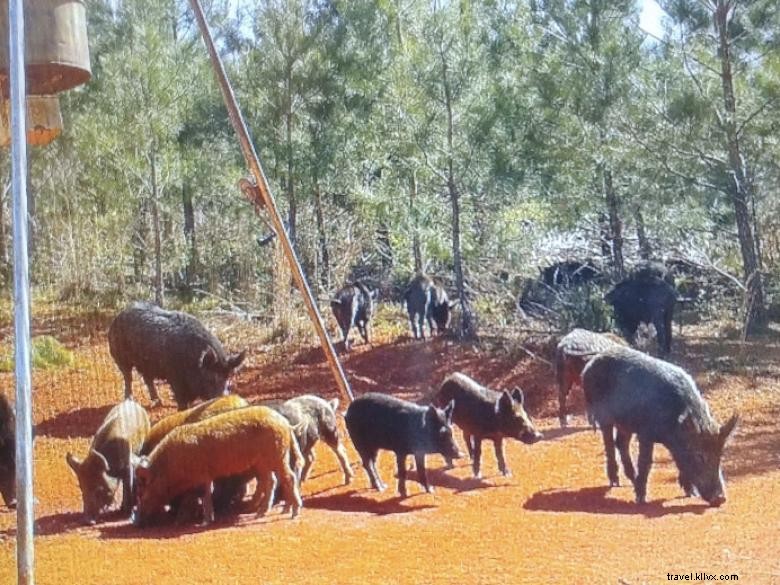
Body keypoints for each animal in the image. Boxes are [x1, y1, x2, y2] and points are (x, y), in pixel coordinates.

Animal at [133, 406, 304, 524]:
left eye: (141, 492)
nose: (138, 523)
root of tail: (286, 423)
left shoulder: (202, 474)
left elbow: (205, 494)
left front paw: (204, 521)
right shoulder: (205, 476)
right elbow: (206, 493)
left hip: (277, 455)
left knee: (289, 477)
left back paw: (293, 512)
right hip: (264, 462)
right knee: (272, 481)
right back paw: (260, 513)